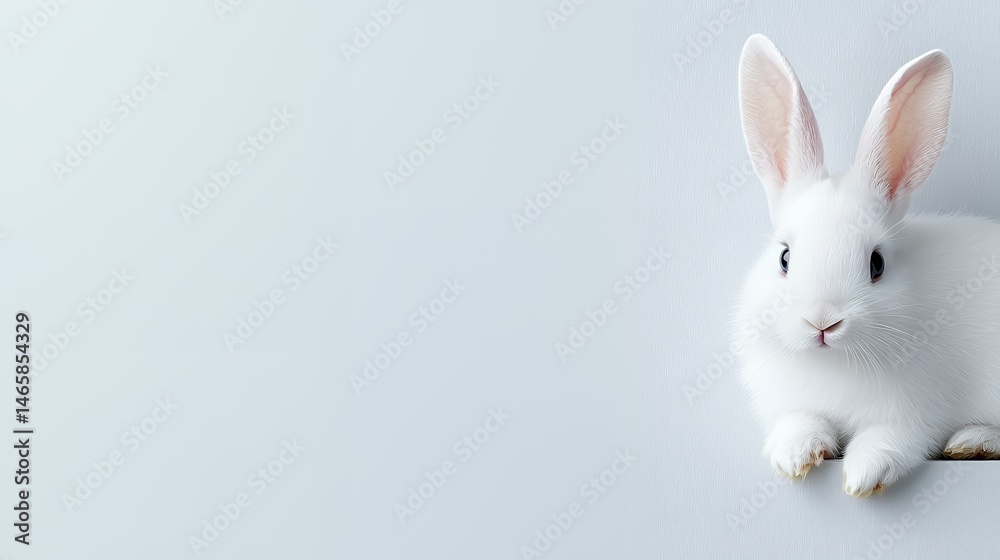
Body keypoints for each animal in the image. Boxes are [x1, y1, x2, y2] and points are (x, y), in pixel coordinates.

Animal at [734, 34, 1000, 498]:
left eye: (877, 263)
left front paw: (861, 477)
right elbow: (798, 423)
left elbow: (891, 439)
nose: (822, 322)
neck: (834, 362)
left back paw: (973, 442)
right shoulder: (792, 404)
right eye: (784, 257)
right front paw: (796, 456)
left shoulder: (917, 414)